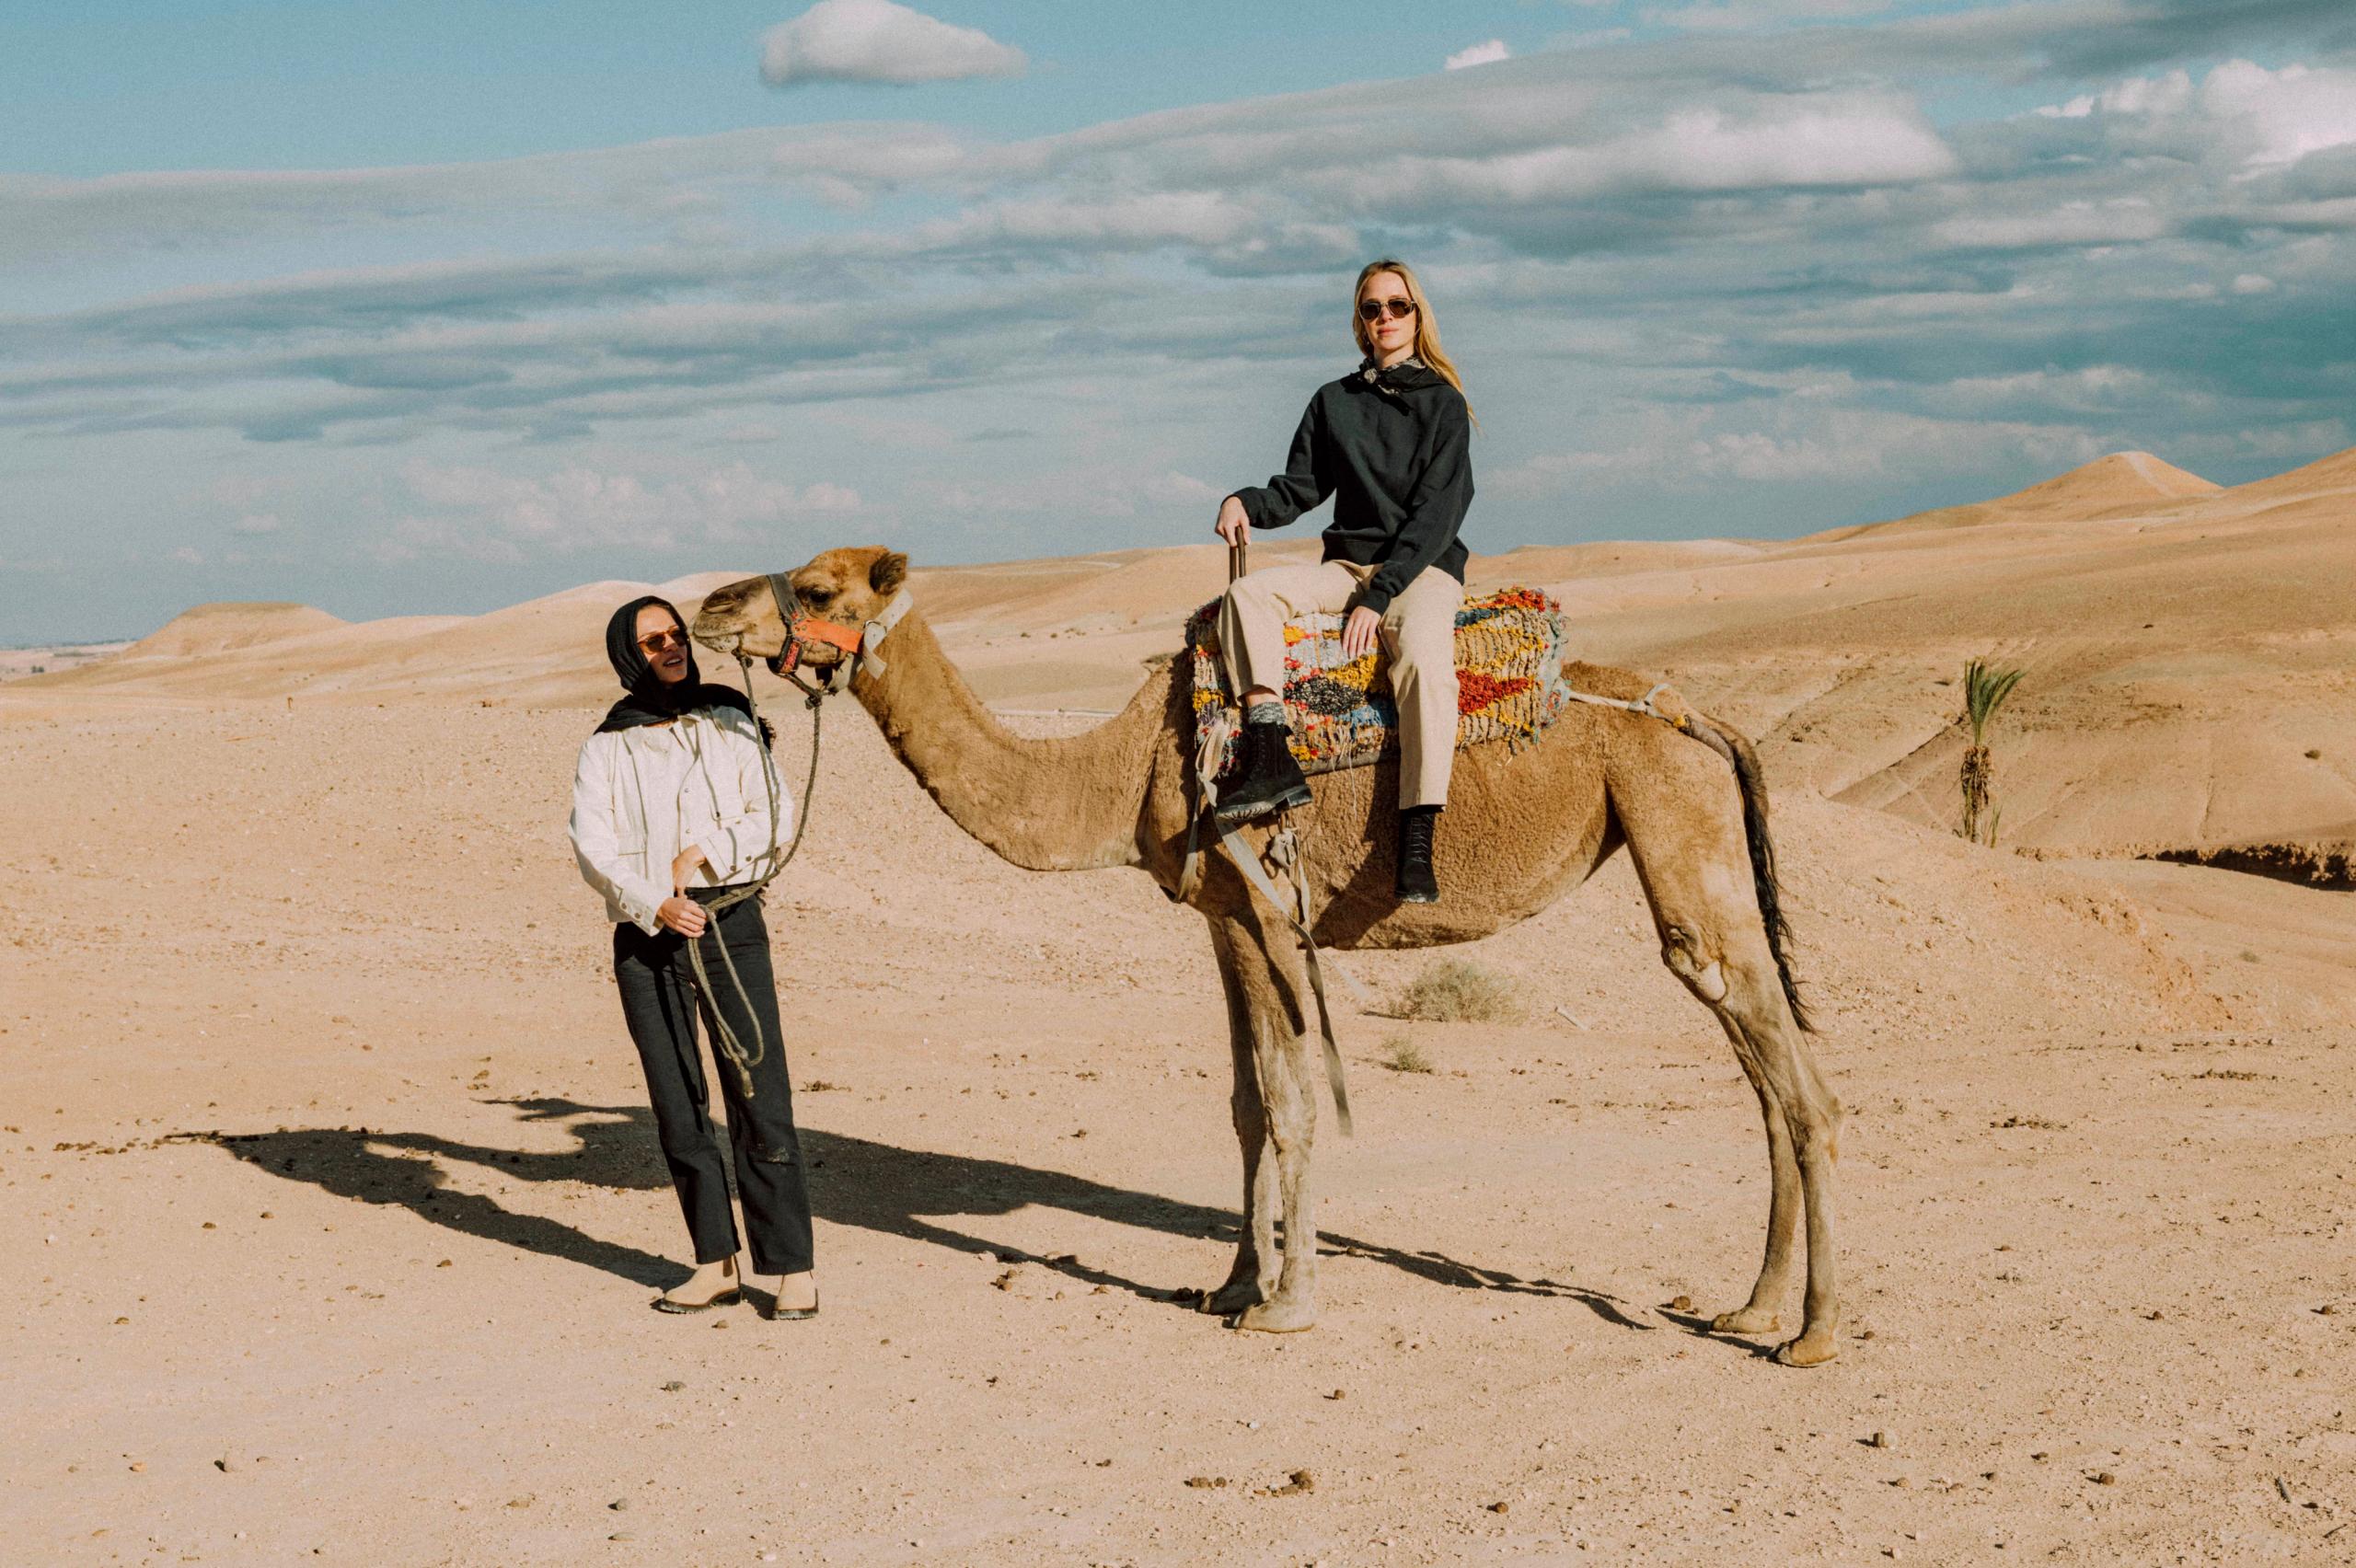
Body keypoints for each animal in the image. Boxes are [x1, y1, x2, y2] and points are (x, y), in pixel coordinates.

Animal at [692, 547, 1845, 1366]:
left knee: (1792, 1076)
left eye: (817, 585)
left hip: (1674, 820)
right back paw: (1749, 1308)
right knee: (1761, 1070)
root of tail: (1698, 715)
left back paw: (1812, 1333)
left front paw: (1287, 1305)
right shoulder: (1219, 915)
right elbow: (1246, 1102)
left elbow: (1289, 1101)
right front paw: (1236, 1281)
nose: (709, 606)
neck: (1123, 768)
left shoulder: (1266, 913)